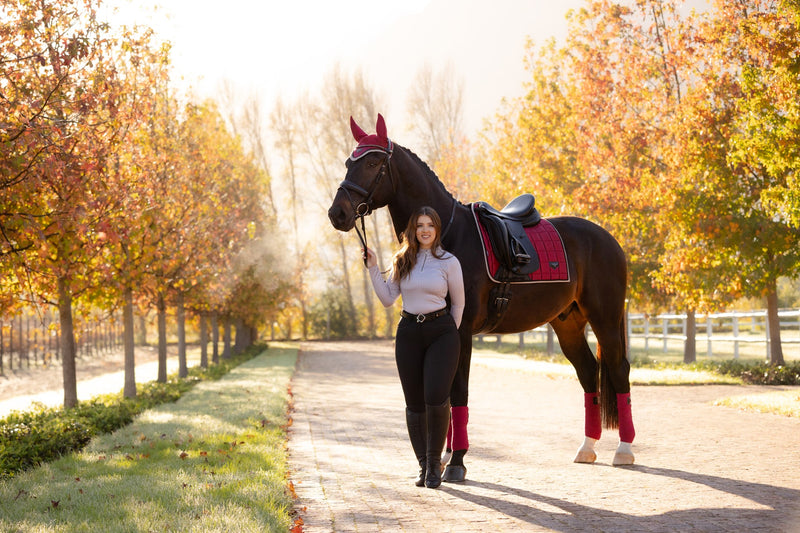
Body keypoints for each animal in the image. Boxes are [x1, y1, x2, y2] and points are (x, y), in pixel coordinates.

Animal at [326, 113, 636, 470]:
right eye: (348, 162)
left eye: (373, 161)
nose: (338, 213)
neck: (447, 235)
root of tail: (608, 239)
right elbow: (445, 393)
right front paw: (446, 455)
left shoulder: (460, 330)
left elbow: (458, 392)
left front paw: (457, 462)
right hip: (568, 323)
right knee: (588, 372)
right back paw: (587, 447)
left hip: (606, 318)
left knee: (619, 370)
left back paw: (624, 449)